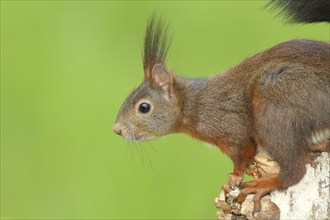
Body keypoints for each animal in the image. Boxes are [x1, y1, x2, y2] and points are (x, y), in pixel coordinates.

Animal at [113, 0, 330, 215]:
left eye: (144, 107)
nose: (117, 129)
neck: (193, 104)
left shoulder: (232, 129)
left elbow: (243, 154)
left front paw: (233, 178)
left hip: (276, 103)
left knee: (295, 170)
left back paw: (264, 184)